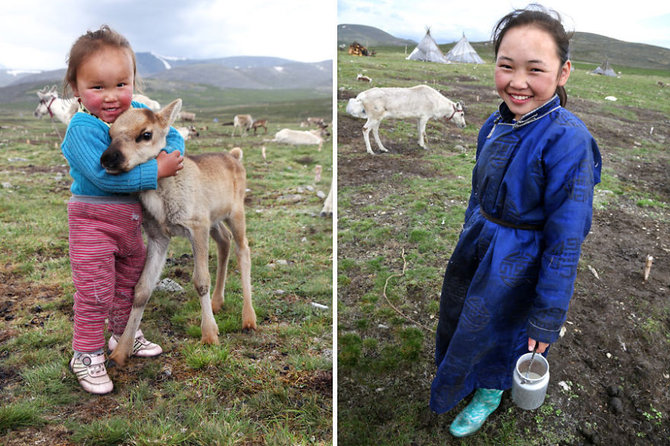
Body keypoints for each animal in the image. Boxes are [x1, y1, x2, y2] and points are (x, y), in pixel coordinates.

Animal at [100, 98, 258, 366]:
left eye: (146, 134)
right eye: (110, 134)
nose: (108, 158)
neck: (163, 201)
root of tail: (235, 156)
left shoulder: (196, 227)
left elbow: (201, 280)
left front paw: (209, 334)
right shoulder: (159, 236)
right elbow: (142, 289)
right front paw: (121, 351)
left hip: (235, 213)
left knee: (243, 250)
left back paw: (248, 317)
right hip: (214, 220)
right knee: (224, 241)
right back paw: (218, 302)